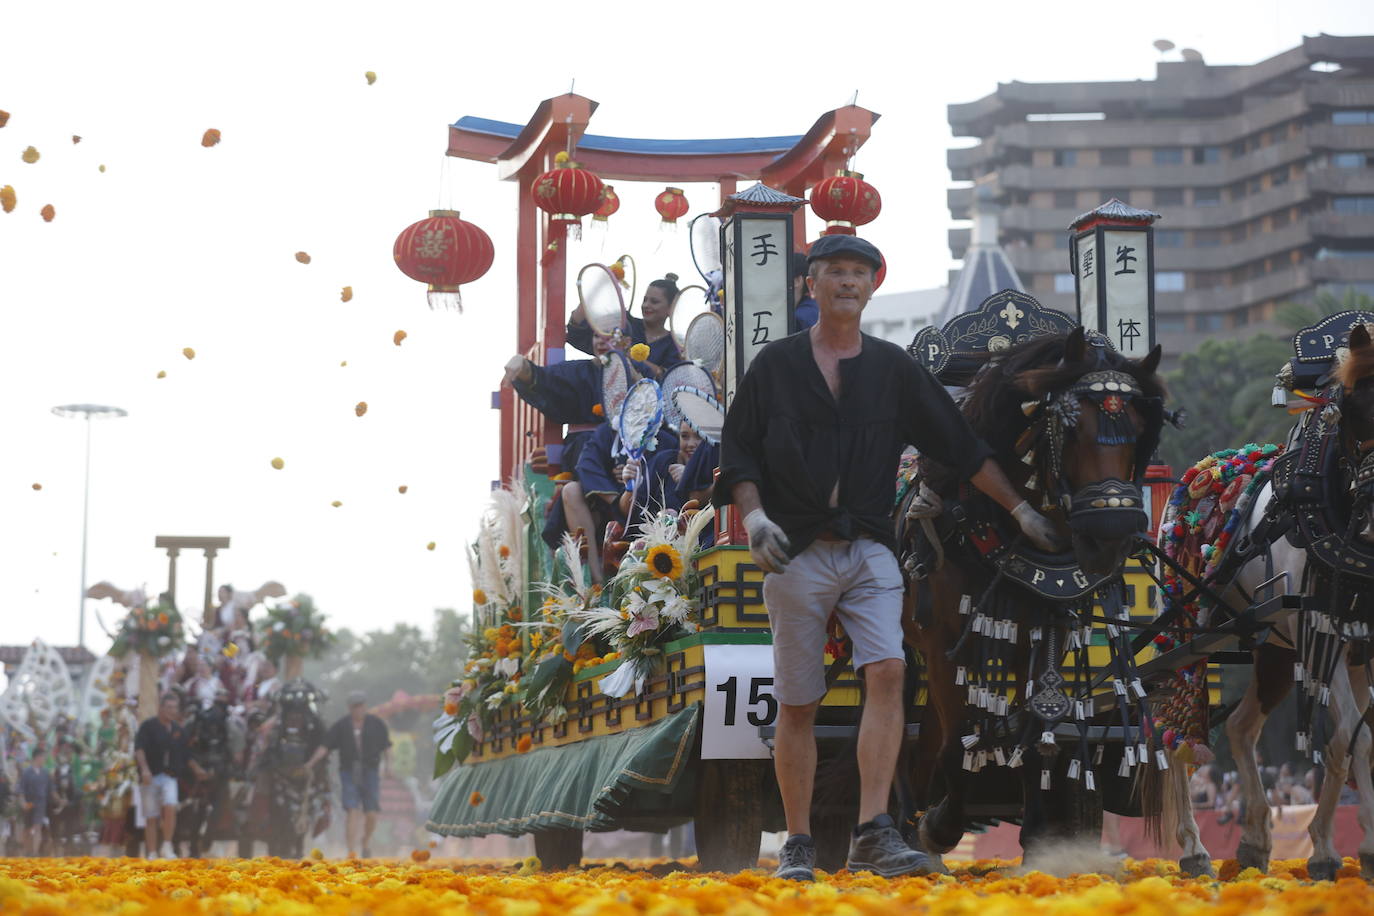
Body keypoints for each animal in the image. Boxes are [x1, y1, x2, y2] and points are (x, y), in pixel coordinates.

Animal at [901, 292, 1170, 867]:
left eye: (1141, 432)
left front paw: (1041, 836)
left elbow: (1028, 726)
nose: (1112, 535)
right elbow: (960, 736)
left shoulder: (1040, 630)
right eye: (1070, 428)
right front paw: (941, 824)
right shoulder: (944, 640)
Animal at [1148, 315, 1374, 878]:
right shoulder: (1325, 634)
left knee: (1241, 727)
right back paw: (1194, 847)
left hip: (1272, 645)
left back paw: (1253, 839)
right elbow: (1354, 738)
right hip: (1189, 630)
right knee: (1172, 728)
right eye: (1354, 407)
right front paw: (1355, 845)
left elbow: (1347, 741)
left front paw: (1328, 845)